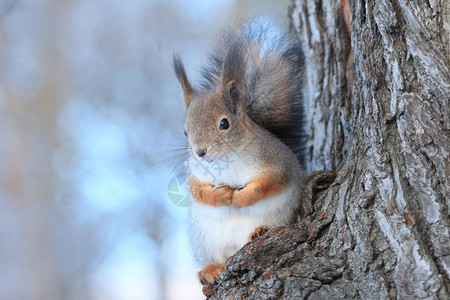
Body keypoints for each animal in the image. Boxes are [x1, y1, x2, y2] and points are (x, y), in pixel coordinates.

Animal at [171, 21, 306, 286]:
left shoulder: (277, 161)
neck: (225, 160)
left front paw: (241, 198)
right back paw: (209, 270)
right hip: (204, 241)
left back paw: (259, 231)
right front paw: (220, 196)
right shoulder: (196, 174)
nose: (200, 152)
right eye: (185, 131)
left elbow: (270, 182)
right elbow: (196, 190)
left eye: (224, 124)